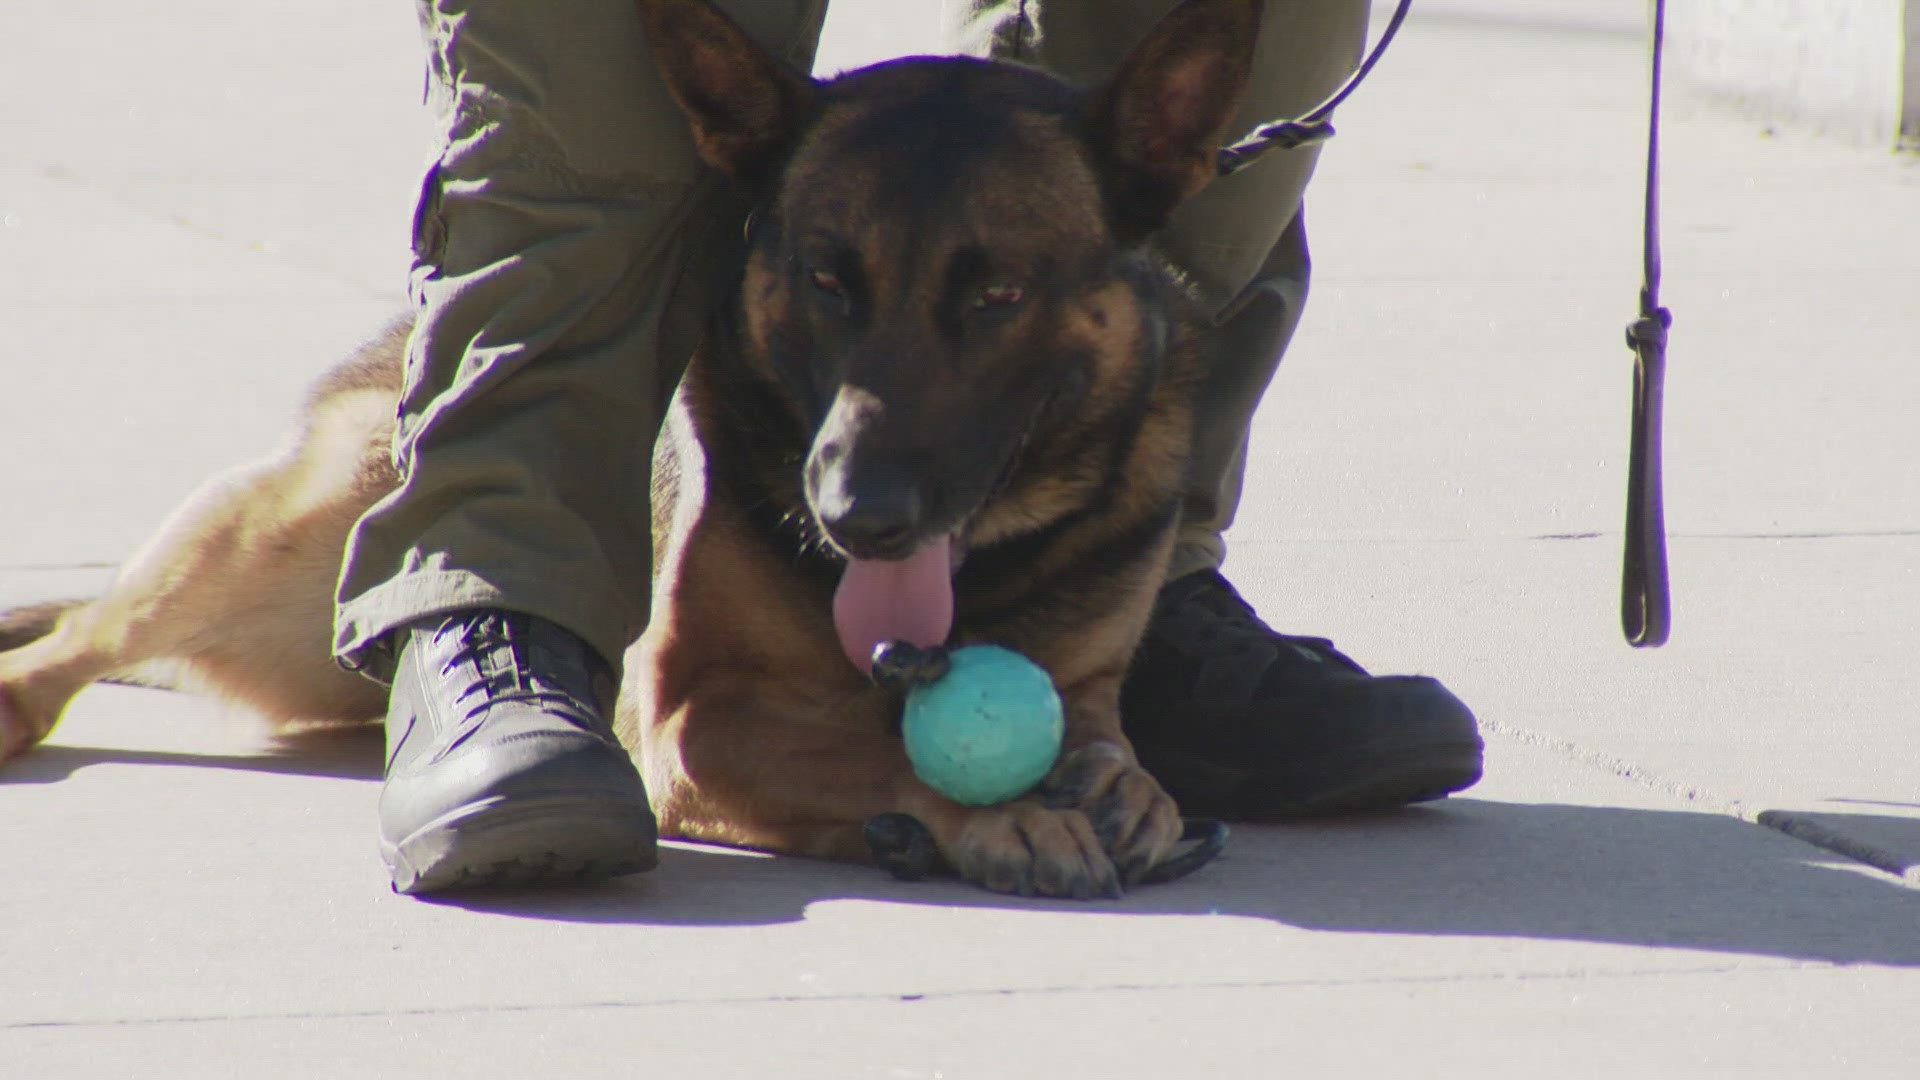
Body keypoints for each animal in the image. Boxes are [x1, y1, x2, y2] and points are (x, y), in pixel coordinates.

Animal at [0, 0, 1267, 895]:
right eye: (826, 281)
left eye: (998, 295)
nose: (856, 518)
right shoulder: (696, 722)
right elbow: (881, 753)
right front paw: (1002, 811)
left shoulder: (1087, 688)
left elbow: (1107, 744)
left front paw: (1126, 792)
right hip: (266, 556)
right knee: (87, 630)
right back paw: (22, 698)